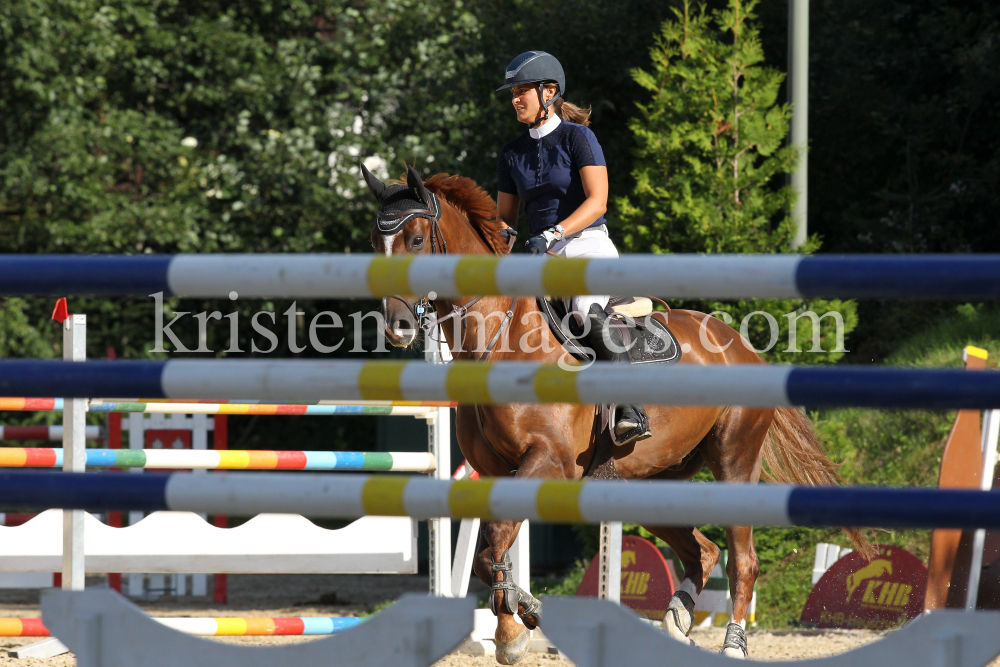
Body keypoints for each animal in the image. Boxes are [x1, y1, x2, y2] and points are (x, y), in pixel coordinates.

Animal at [366, 167, 868, 664]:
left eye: (415, 240)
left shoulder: (548, 462)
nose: (397, 328)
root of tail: (742, 347)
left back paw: (732, 644)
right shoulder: (496, 472)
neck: (500, 340)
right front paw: (519, 617)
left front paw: (512, 629)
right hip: (651, 479)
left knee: (742, 561)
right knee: (702, 552)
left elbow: (494, 542)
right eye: (375, 243)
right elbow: (489, 554)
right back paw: (678, 620)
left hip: (734, 462)